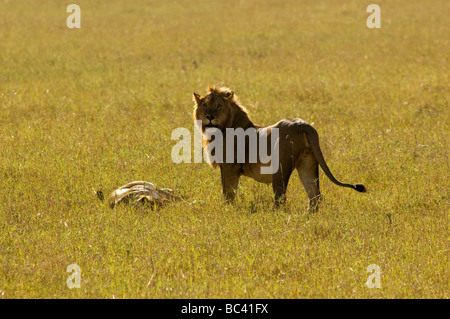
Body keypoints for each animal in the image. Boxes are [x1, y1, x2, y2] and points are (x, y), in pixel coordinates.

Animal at [192, 85, 366, 210]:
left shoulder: (230, 167)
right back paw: (308, 217)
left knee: (281, 198)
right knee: (315, 195)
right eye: (205, 105)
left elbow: (228, 193)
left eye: (218, 106)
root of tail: (304, 125)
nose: (209, 117)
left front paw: (227, 210)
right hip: (308, 163)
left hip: (280, 169)